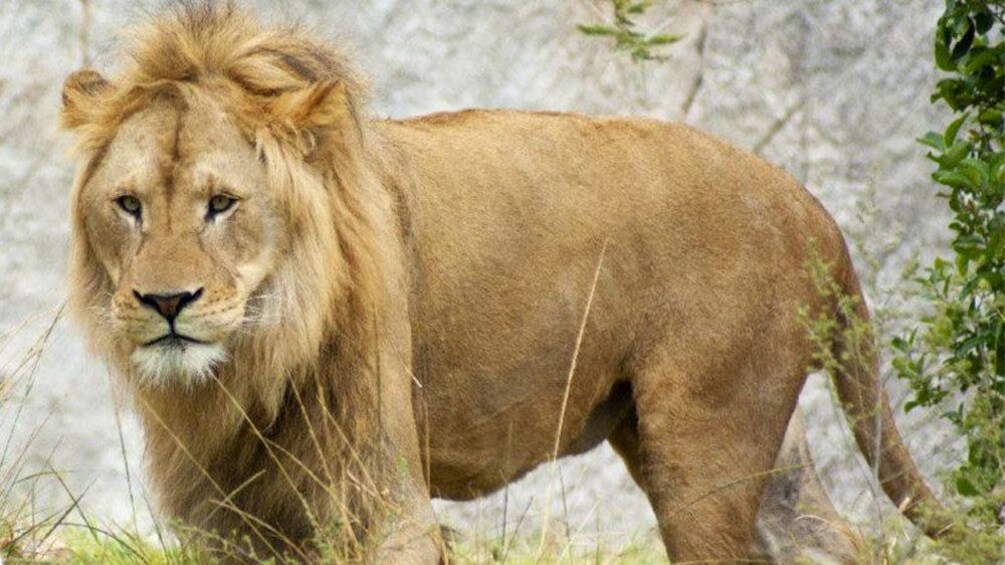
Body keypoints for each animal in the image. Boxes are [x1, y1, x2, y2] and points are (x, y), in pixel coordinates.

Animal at [60, 4, 940, 562]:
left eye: (222, 204)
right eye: (129, 205)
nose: (165, 303)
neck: (252, 361)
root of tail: (804, 202)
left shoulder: (380, 496)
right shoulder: (232, 515)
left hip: (705, 443)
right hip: (753, 439)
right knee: (826, 537)